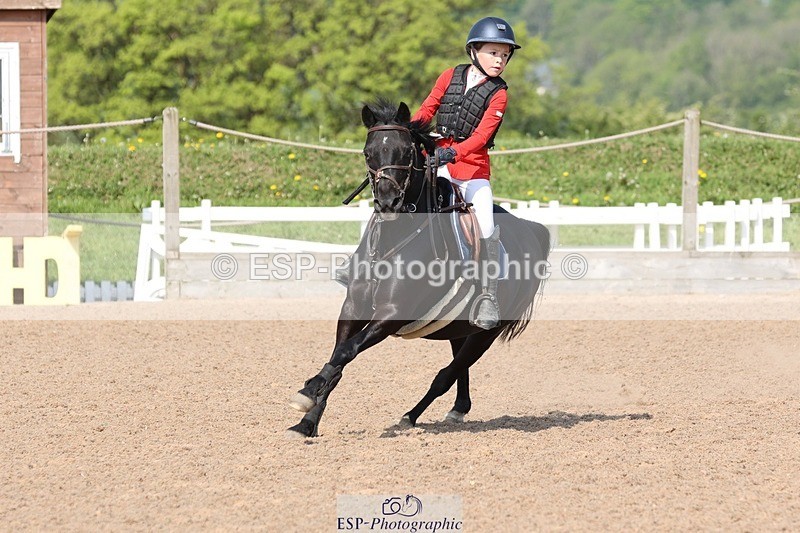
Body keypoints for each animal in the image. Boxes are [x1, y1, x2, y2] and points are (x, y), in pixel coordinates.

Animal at [287, 99, 550, 438]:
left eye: (406, 153)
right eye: (368, 153)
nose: (388, 203)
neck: (395, 236)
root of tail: (531, 229)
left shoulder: (392, 313)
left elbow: (347, 352)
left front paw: (308, 392)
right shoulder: (354, 306)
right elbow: (338, 356)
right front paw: (307, 421)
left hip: (485, 333)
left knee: (447, 373)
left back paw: (410, 417)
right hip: (457, 327)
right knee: (458, 368)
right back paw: (457, 410)